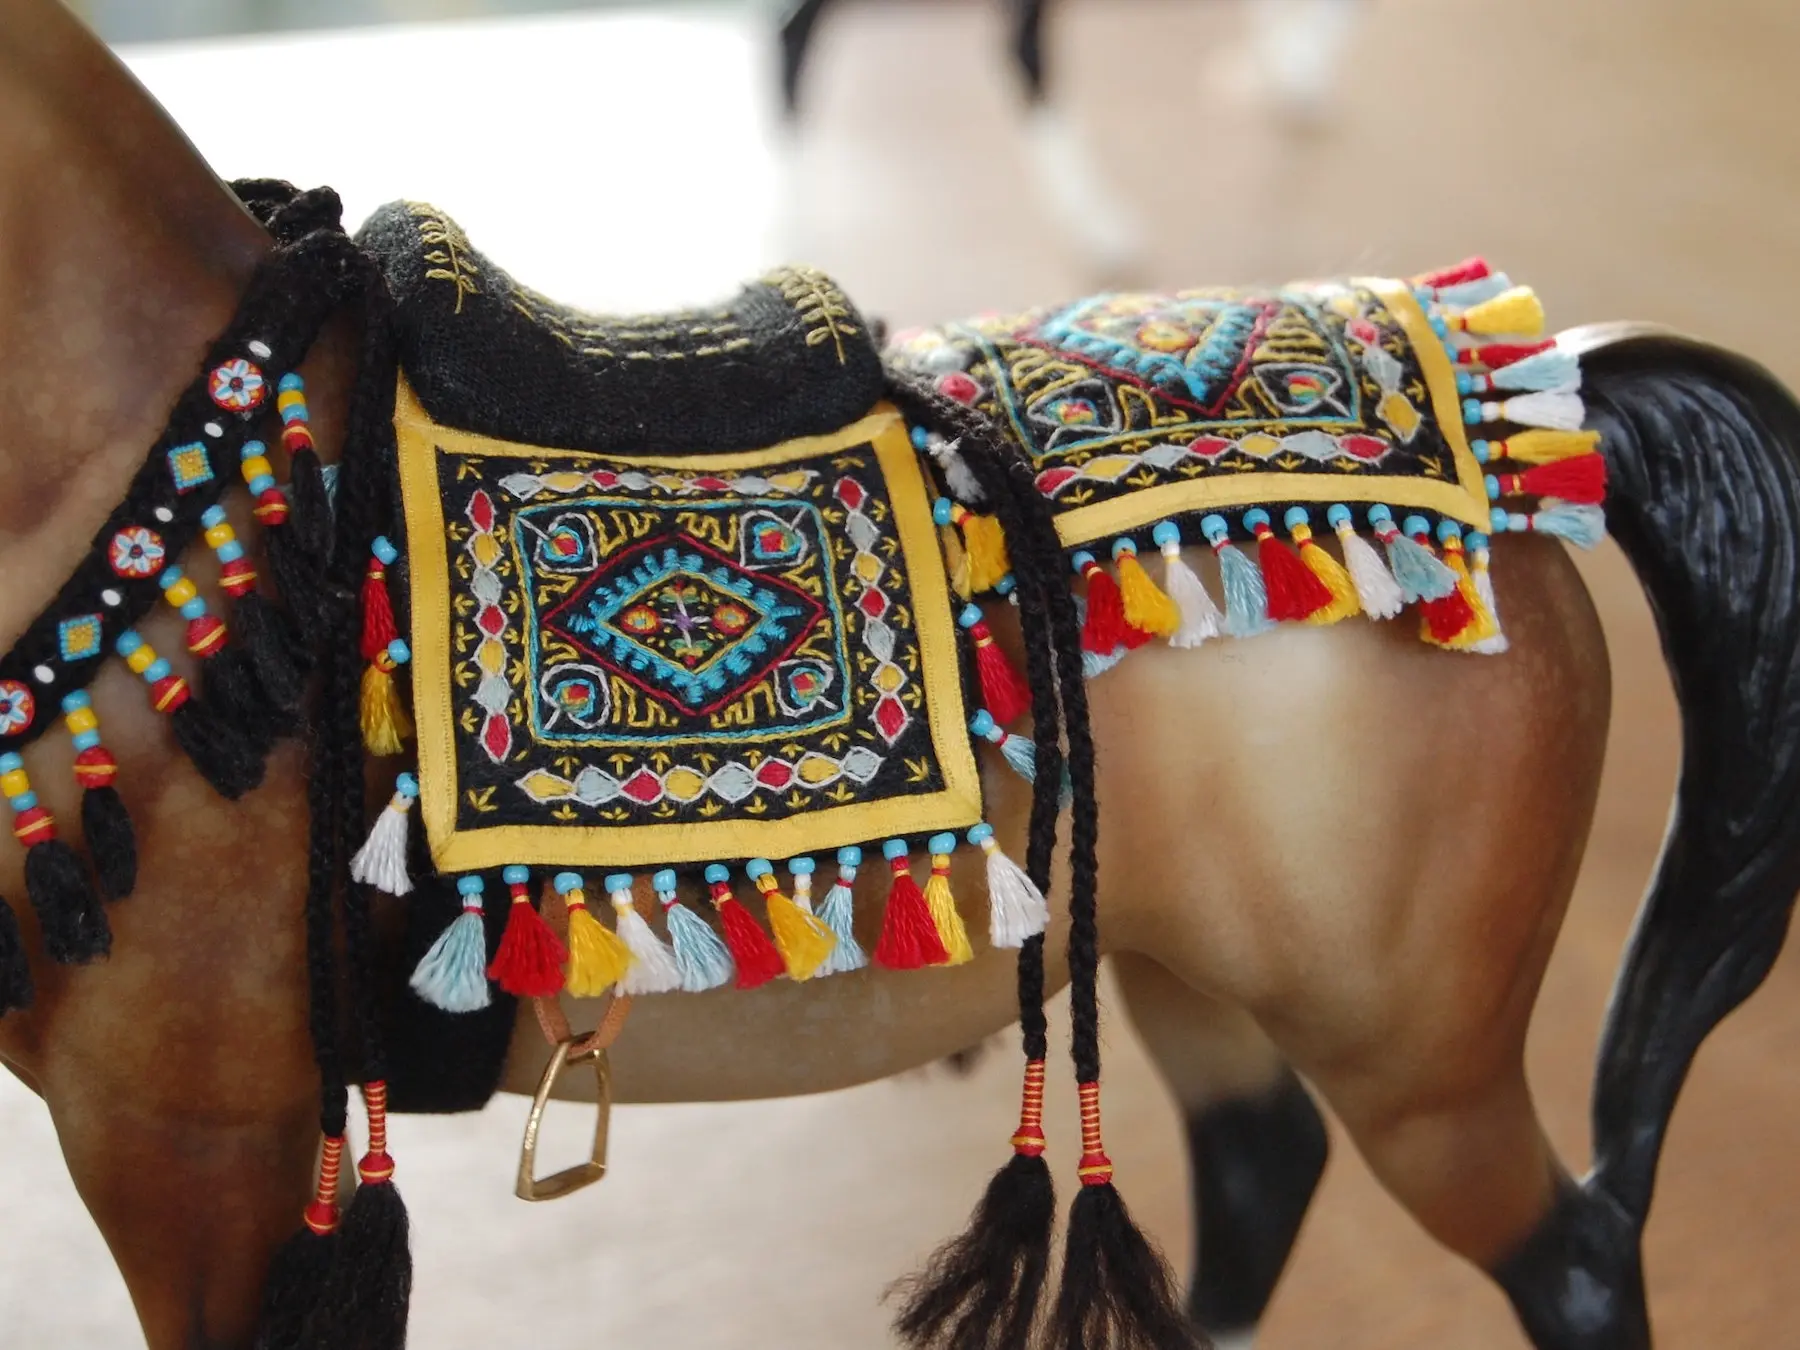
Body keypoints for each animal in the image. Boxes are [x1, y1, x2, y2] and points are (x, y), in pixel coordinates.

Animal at [3, 2, 1800, 1350]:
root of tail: (1533, 435)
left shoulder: (195, 1158)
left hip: (1414, 1057)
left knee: (1570, 1259)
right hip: (1181, 965)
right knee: (1260, 1173)